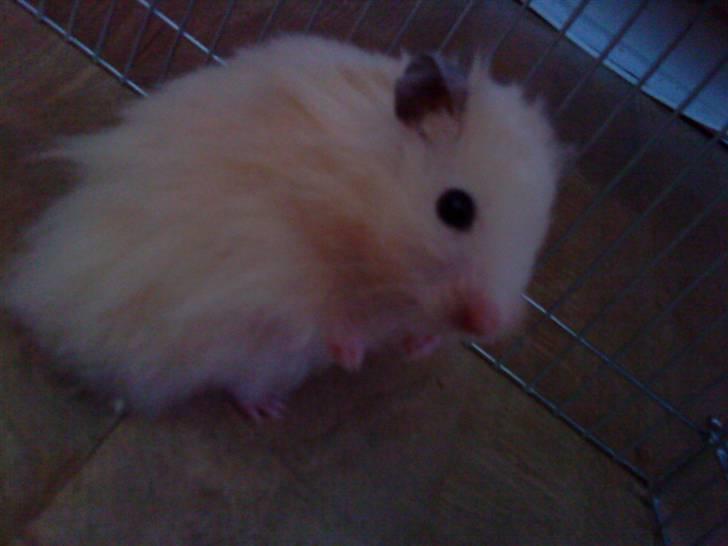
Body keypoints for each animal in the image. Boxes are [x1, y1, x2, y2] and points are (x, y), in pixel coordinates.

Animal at [3, 35, 563, 419]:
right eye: (455, 208)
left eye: (536, 237)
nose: (488, 323)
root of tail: (40, 294)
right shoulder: (280, 257)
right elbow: (322, 309)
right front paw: (352, 357)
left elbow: (417, 329)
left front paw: (413, 350)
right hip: (233, 345)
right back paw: (267, 411)